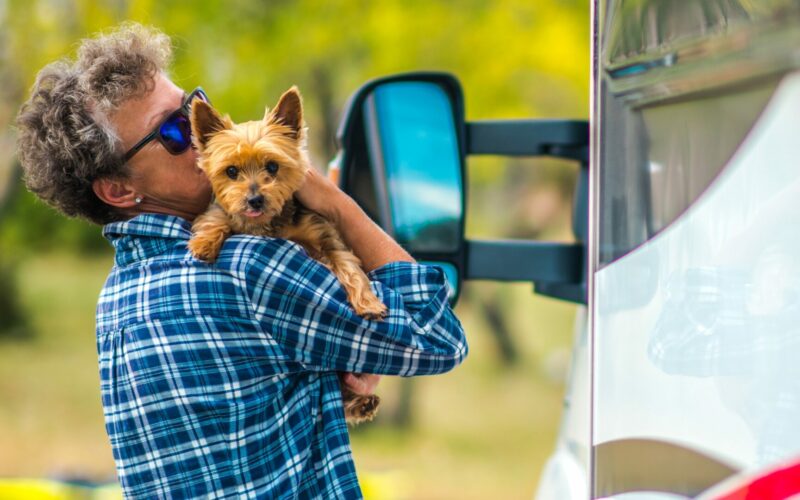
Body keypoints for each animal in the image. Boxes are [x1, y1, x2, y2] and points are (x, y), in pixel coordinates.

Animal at [189, 88, 386, 424]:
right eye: (231, 171)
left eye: (272, 166)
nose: (255, 199)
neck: (269, 224)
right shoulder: (231, 214)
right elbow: (218, 216)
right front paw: (204, 242)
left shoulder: (325, 235)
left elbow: (348, 268)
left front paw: (369, 303)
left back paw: (361, 402)